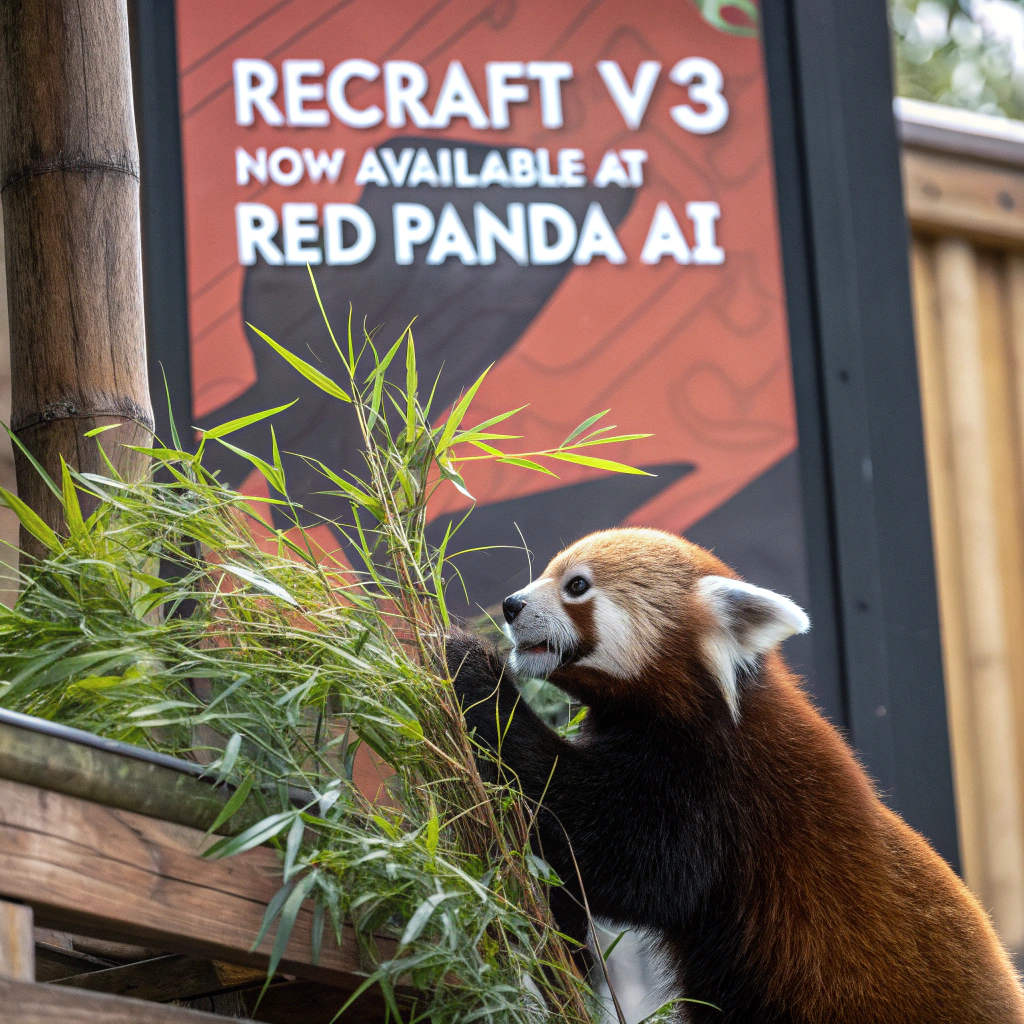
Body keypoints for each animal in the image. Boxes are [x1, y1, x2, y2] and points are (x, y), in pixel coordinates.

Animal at [446, 527, 1024, 1024]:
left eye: (577, 586)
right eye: (546, 573)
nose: (511, 605)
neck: (702, 707)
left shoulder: (724, 792)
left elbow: (630, 864)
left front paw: (474, 671)